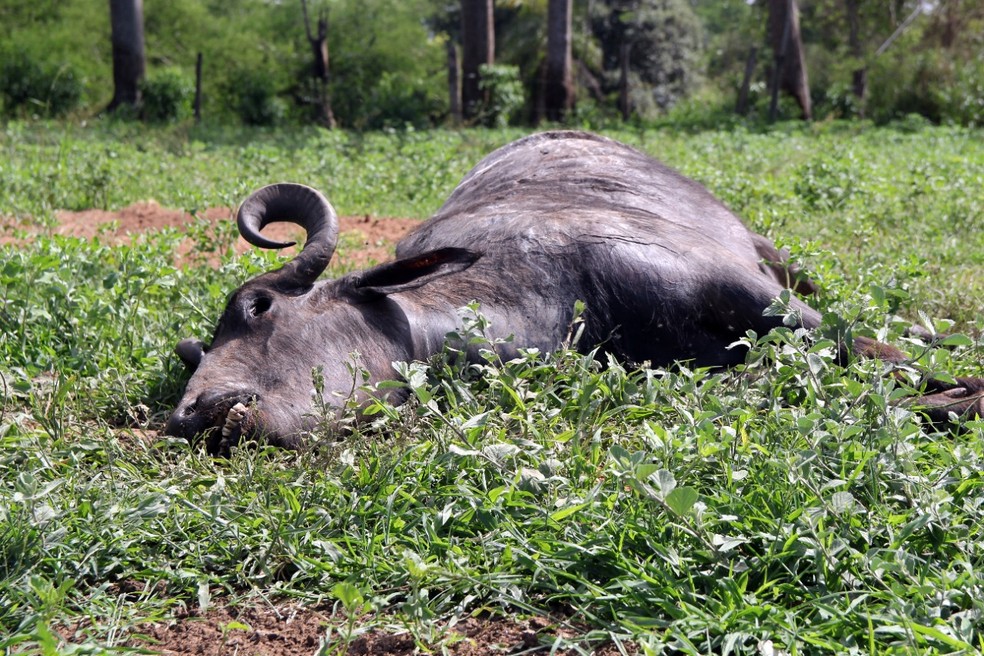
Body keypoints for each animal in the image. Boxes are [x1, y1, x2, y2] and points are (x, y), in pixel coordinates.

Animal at [165, 131, 980, 454]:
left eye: (258, 308)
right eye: (191, 356)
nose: (192, 415)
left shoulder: (759, 297)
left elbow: (874, 348)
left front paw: (952, 387)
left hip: (777, 262)